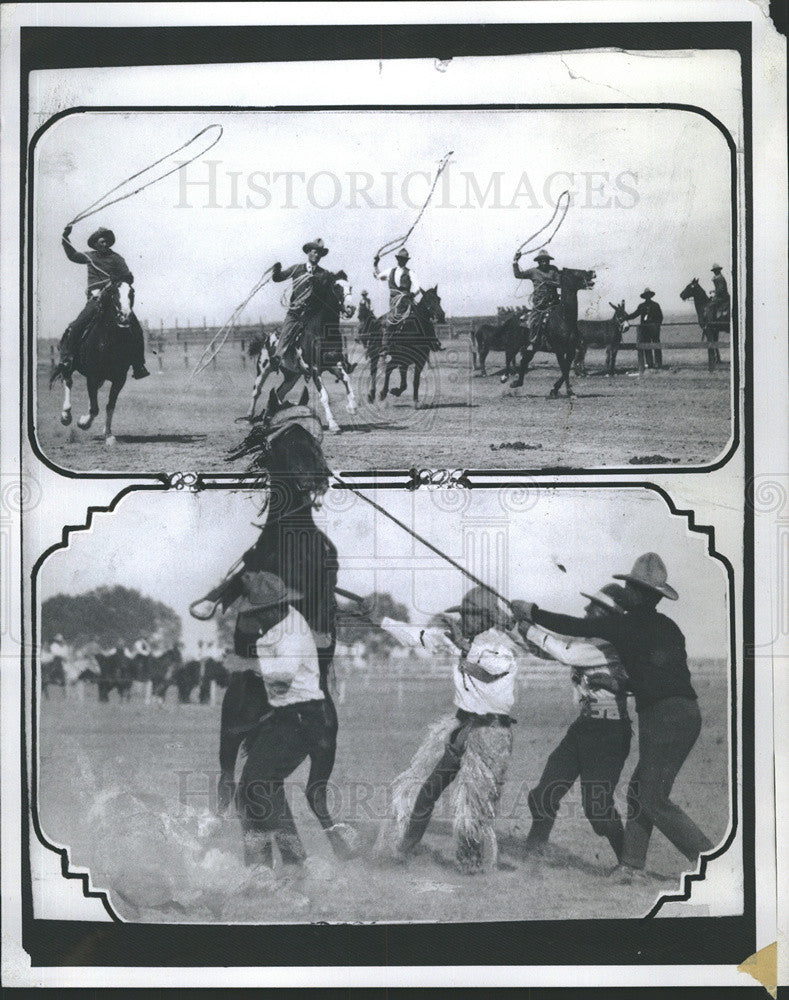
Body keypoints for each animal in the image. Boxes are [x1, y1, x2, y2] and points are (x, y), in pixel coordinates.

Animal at [50, 276, 137, 444]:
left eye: (131, 293)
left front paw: (108, 435)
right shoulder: (92, 376)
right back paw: (66, 415)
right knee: (68, 381)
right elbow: (95, 408)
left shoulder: (119, 379)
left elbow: (109, 405)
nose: (124, 316)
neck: (109, 340)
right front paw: (83, 423)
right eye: (113, 293)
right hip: (69, 364)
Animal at [209, 388, 358, 860]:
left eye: (314, 436)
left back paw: (339, 845)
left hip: (325, 738)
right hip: (231, 730)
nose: (319, 478)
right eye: (286, 439)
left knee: (310, 794)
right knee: (230, 785)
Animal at [508, 268, 596, 396]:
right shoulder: (559, 350)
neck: (564, 319)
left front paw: (555, 389)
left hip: (532, 347)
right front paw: (569, 391)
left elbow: (566, 368)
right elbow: (564, 369)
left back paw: (517, 383)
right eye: (575, 272)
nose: (592, 272)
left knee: (524, 360)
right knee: (512, 357)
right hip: (515, 344)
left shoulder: (571, 351)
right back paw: (505, 378)